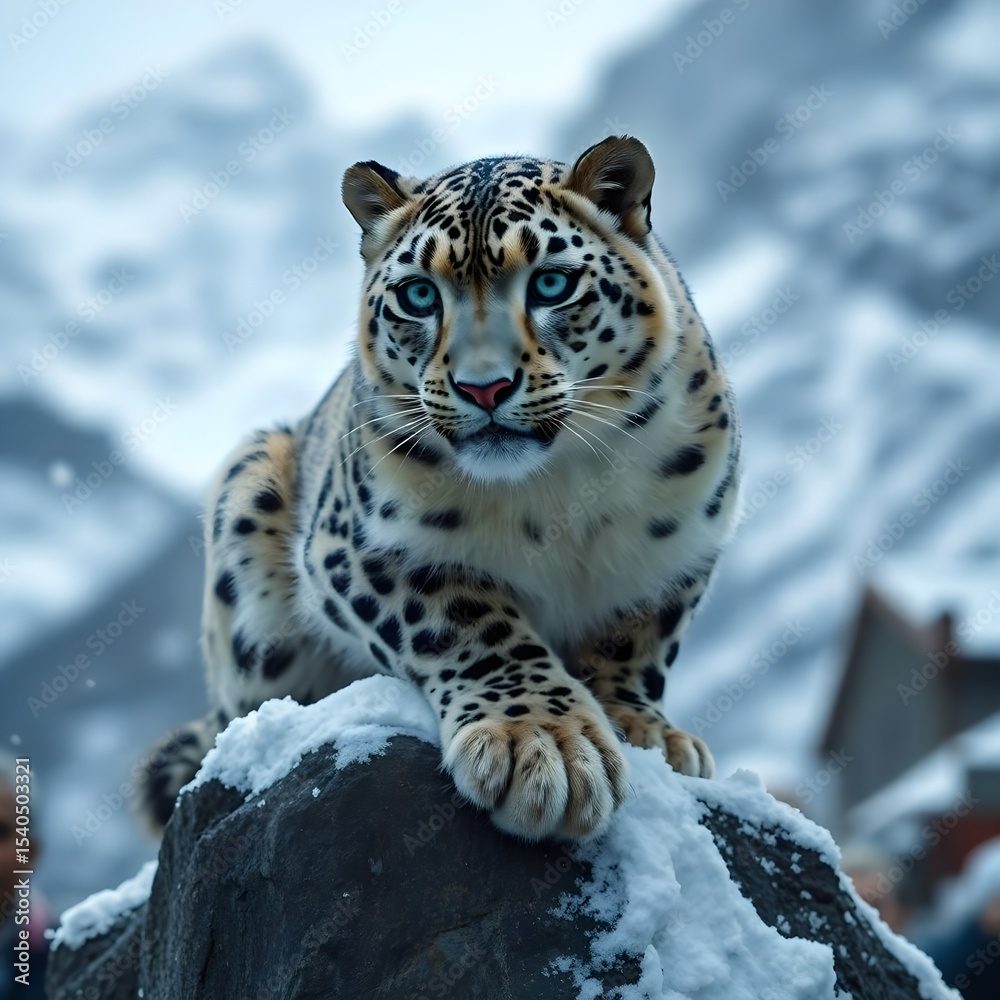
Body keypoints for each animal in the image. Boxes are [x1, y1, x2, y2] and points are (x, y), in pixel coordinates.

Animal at [138, 136, 741, 842]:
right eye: (420, 295)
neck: (557, 492)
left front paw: (645, 729)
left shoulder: (684, 546)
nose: (485, 386)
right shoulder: (363, 548)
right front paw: (544, 746)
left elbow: (637, 641)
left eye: (552, 283)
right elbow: (469, 625)